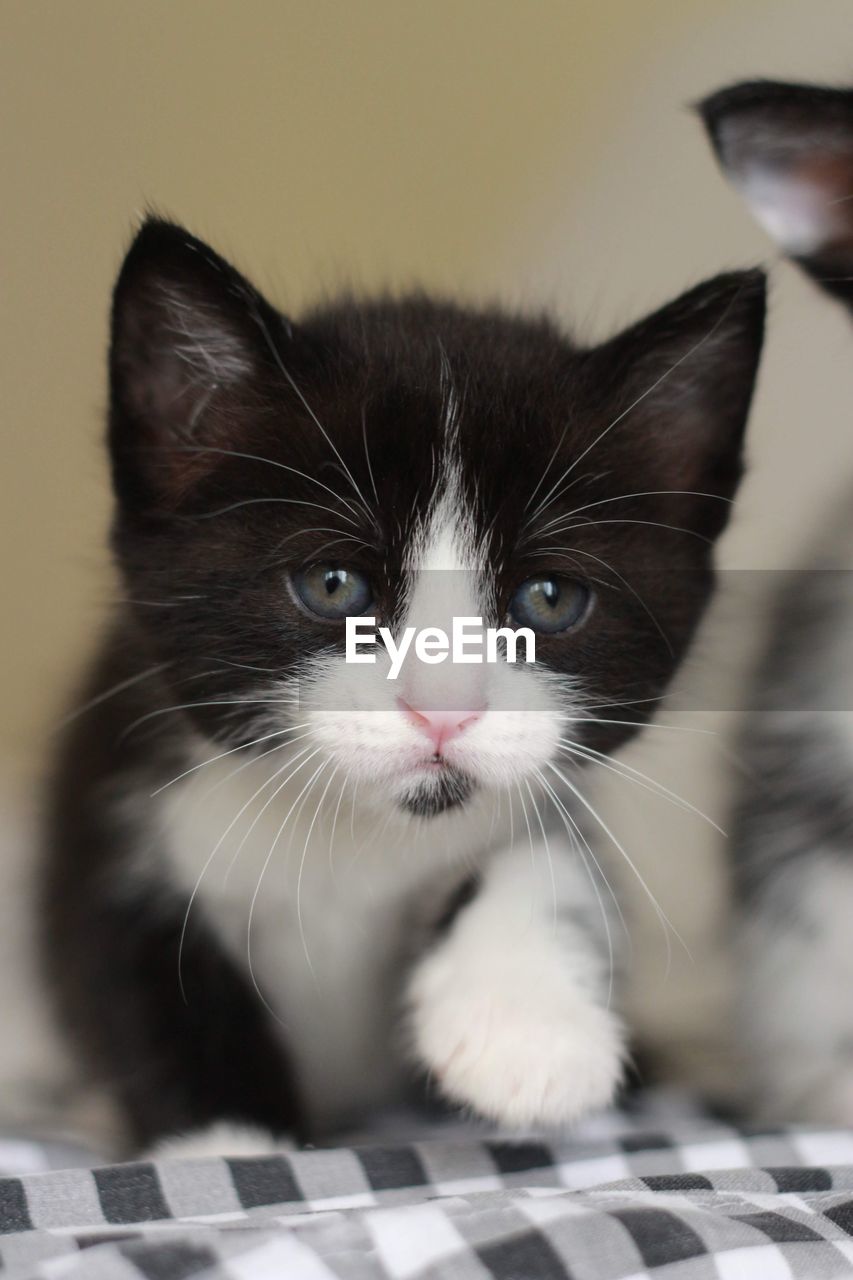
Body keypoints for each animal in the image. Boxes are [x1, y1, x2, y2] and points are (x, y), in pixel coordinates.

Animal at [39, 220, 758, 1152]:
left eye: (548, 599)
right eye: (334, 585)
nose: (442, 709)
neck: (356, 840)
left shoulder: (547, 788)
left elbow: (552, 860)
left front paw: (527, 1030)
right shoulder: (115, 805)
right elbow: (138, 984)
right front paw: (231, 1150)